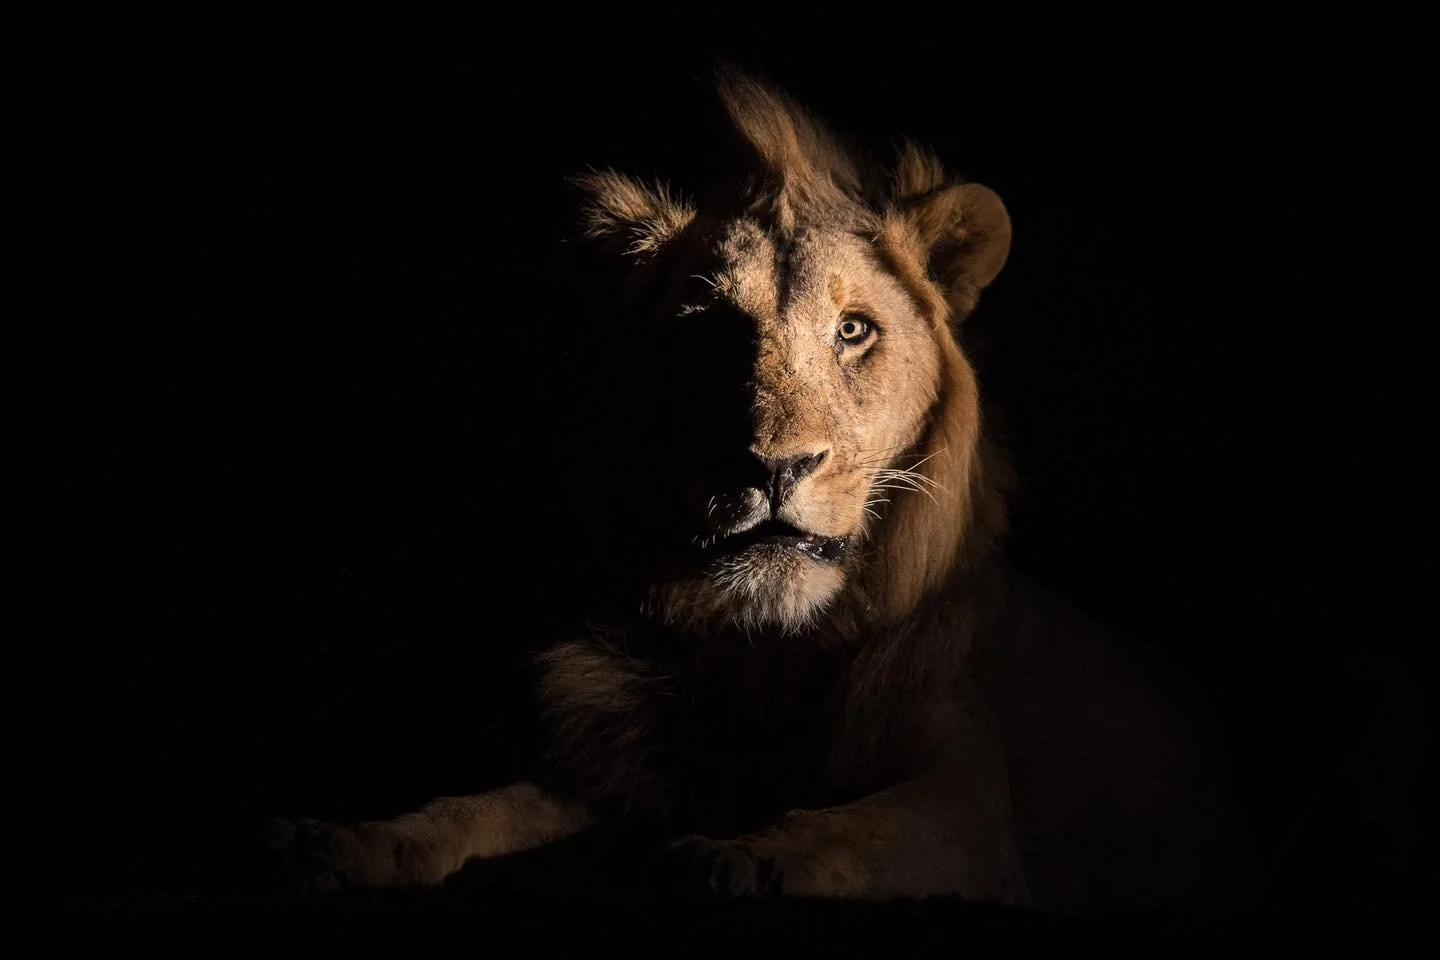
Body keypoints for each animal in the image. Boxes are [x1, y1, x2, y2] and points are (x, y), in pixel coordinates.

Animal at [261, 69, 1251, 913]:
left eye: (854, 331)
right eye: (709, 329)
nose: (773, 467)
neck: (766, 649)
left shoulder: (971, 809)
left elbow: (851, 835)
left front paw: (728, 859)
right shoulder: (622, 766)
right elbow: (480, 807)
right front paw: (345, 842)